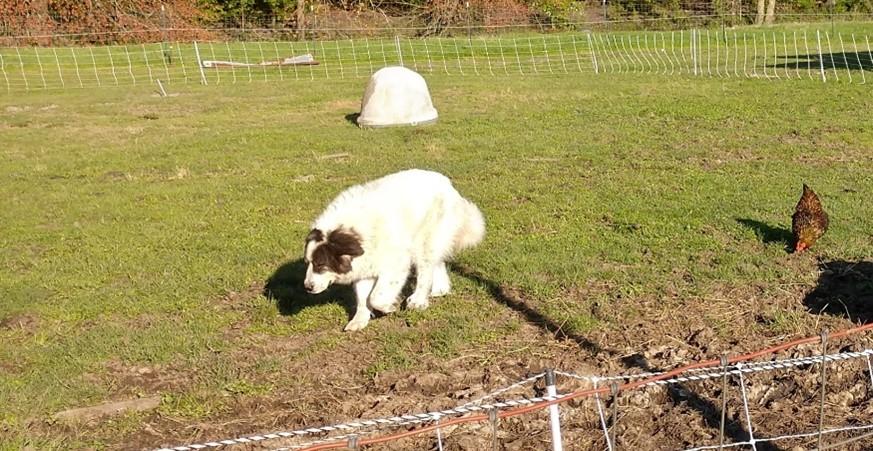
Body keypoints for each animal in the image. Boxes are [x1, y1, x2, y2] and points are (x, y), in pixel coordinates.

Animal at [304, 170, 484, 332]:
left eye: (320, 264)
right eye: (308, 263)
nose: (307, 287)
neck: (354, 235)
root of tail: (447, 184)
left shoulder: (395, 265)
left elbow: (375, 297)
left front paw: (389, 307)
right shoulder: (364, 268)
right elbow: (362, 298)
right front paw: (359, 320)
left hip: (424, 241)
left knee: (425, 270)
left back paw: (418, 300)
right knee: (436, 263)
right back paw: (440, 289)